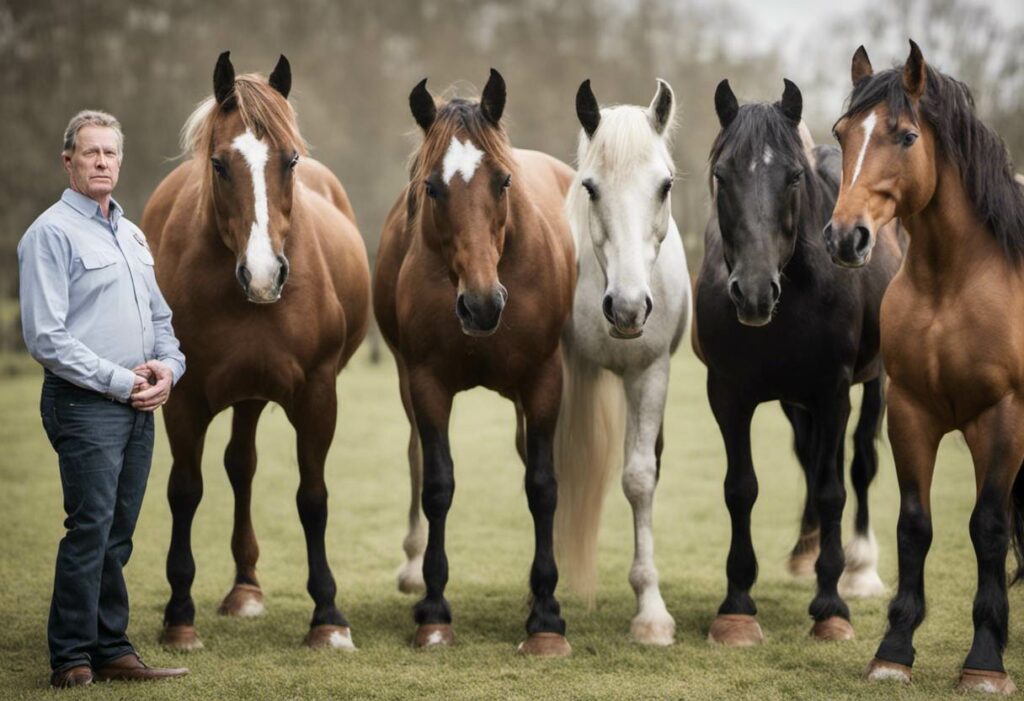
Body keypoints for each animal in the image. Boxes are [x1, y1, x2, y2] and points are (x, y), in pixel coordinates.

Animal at [140, 53, 370, 650]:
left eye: (289, 160)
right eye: (220, 164)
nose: (265, 275)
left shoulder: (317, 395)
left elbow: (312, 498)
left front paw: (328, 616)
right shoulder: (183, 399)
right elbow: (184, 492)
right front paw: (179, 616)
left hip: (251, 394)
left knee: (241, 465)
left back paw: (247, 588)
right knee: (236, 467)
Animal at [376, 68, 581, 654]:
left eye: (503, 182)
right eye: (432, 187)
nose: (482, 304)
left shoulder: (544, 381)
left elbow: (542, 485)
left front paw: (546, 611)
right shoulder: (425, 384)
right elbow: (438, 484)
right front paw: (434, 608)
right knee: (417, 459)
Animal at [692, 76, 901, 646]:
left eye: (792, 177)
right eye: (722, 174)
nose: (754, 293)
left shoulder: (832, 393)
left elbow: (833, 490)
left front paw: (830, 607)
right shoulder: (728, 395)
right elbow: (741, 489)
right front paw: (737, 604)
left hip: (874, 383)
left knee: (859, 463)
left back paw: (859, 568)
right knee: (810, 455)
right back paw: (808, 552)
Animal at [827, 40, 1024, 691]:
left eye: (907, 136)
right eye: (841, 134)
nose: (845, 237)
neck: (952, 284)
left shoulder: (1002, 419)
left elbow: (987, 527)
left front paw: (985, 662)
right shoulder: (910, 412)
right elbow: (914, 526)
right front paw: (893, 650)